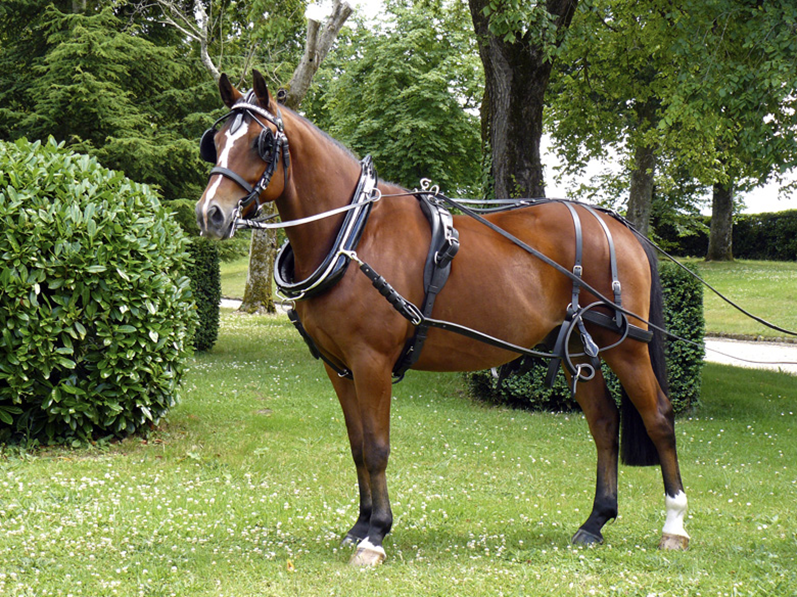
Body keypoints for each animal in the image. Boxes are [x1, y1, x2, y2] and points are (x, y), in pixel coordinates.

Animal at [195, 70, 690, 566]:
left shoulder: (371, 361)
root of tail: (620, 227)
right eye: (215, 142)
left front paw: (376, 534)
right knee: (605, 421)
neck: (353, 234)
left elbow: (377, 448)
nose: (210, 213)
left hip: (628, 348)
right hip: (576, 348)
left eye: (261, 142)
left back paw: (674, 525)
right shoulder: (339, 367)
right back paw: (595, 522)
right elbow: (357, 445)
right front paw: (359, 525)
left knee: (659, 417)